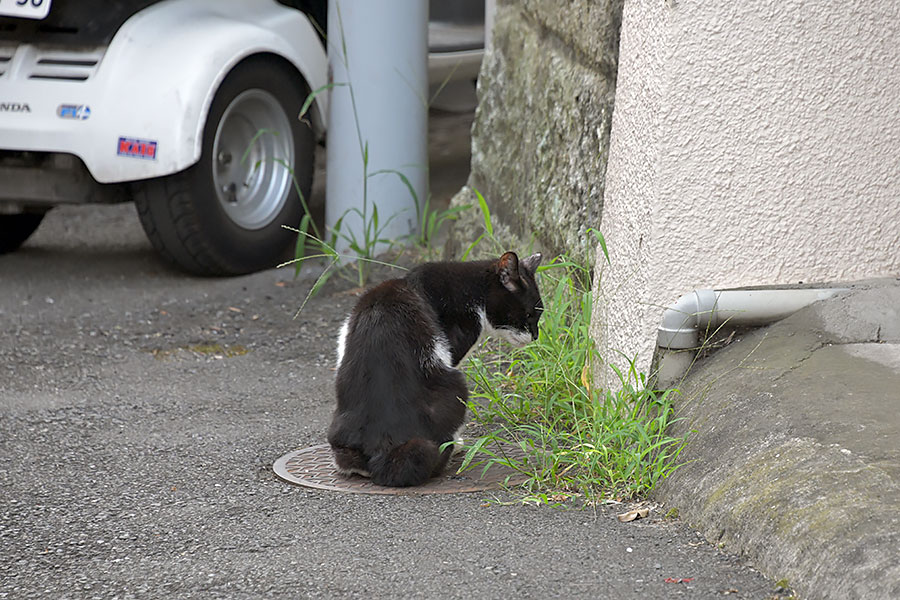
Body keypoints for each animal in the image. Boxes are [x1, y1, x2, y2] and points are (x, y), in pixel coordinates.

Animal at [328, 251, 540, 486]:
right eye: (529, 315)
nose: (535, 336)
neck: (472, 291)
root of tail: (384, 447)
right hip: (456, 385)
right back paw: (454, 447)